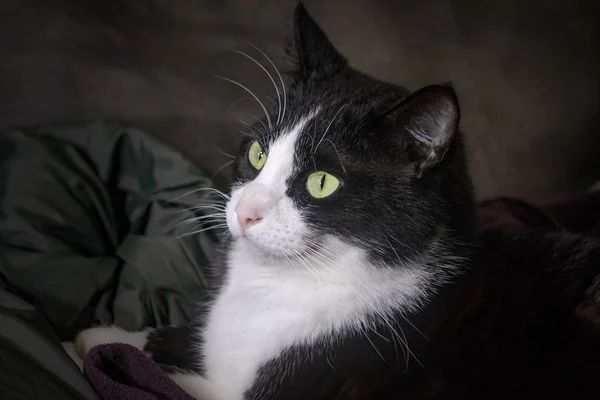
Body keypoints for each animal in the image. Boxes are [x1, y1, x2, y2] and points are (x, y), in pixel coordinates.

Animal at [75, 3, 600, 400]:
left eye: (322, 182)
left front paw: (102, 351)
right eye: (258, 151)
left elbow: (169, 381)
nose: (245, 211)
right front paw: (97, 336)